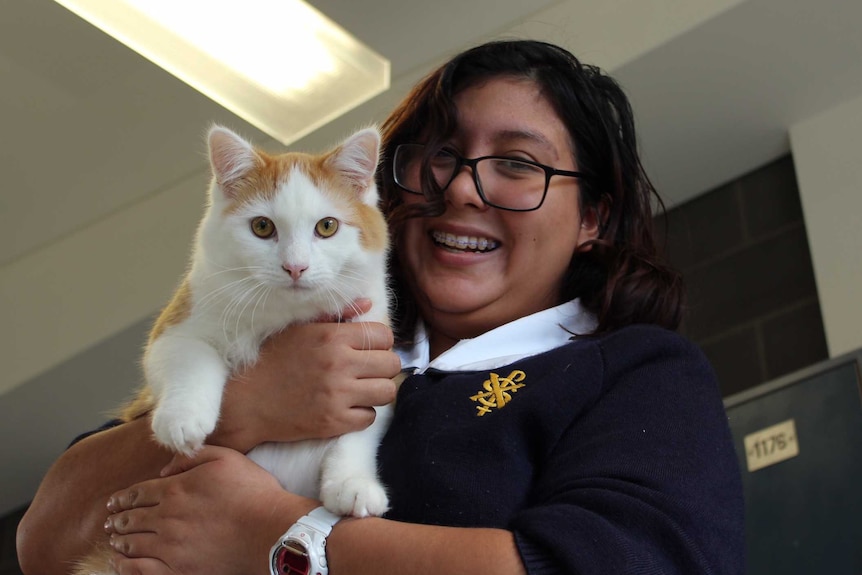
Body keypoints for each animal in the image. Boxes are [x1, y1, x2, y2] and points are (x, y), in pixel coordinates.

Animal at [76, 126, 394, 575]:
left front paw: (352, 483)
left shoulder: (377, 361)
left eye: (327, 226)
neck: (283, 319)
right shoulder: (175, 331)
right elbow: (192, 359)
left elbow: (361, 428)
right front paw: (183, 419)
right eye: (262, 227)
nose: (295, 267)